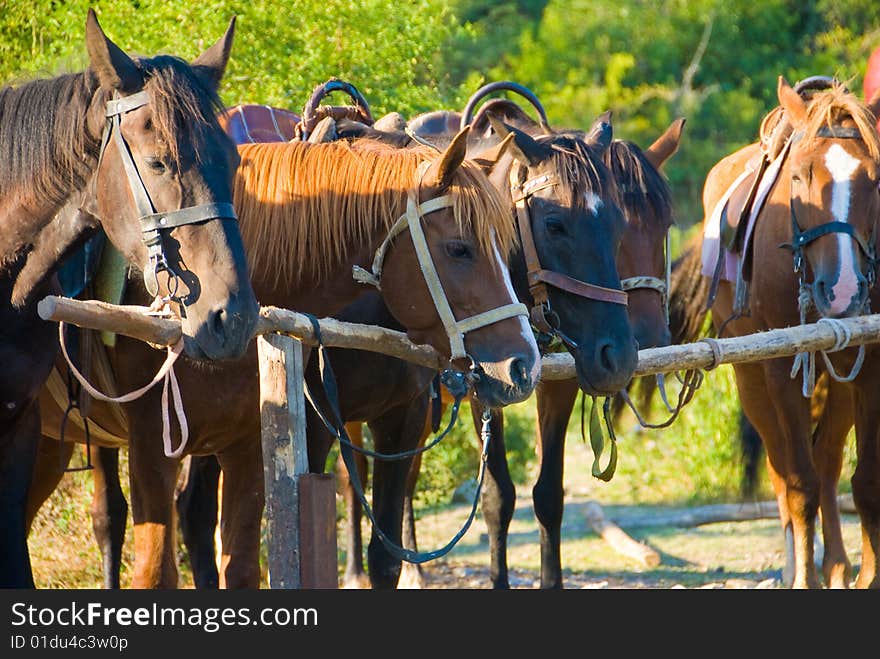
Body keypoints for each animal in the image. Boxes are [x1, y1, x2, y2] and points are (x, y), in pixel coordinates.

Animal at [672, 76, 880, 588]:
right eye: (800, 177)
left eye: (875, 179)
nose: (843, 289)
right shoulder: (782, 367)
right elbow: (799, 484)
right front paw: (803, 576)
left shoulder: (871, 367)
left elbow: (865, 481)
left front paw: (866, 576)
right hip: (753, 381)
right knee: (783, 471)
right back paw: (796, 567)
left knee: (827, 461)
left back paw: (838, 566)